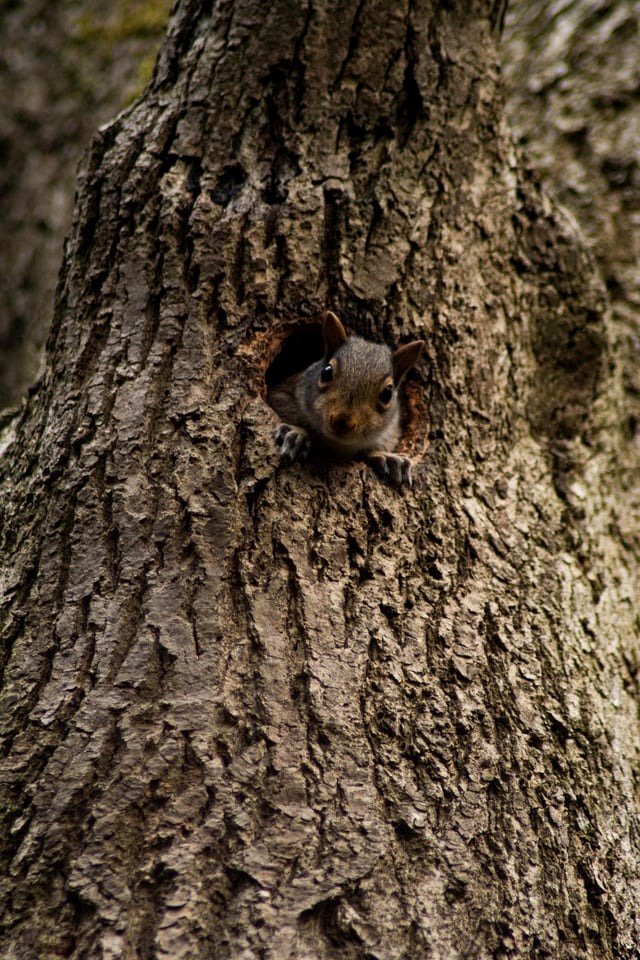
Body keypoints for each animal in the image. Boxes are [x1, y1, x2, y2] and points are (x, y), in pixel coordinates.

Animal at [268, 311, 424, 487]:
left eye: (387, 393)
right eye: (326, 372)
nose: (342, 422)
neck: (336, 444)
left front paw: (387, 457)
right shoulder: (282, 396)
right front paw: (297, 434)